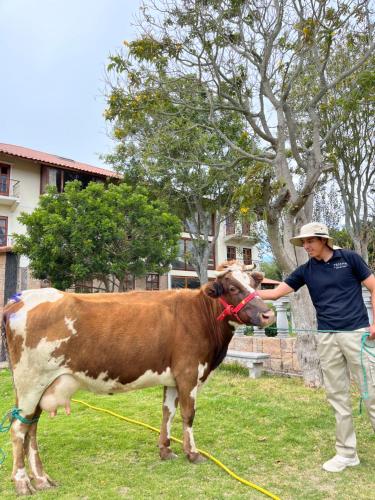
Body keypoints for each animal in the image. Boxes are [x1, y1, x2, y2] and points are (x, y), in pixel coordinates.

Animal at [1, 262, 274, 496]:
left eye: (254, 283)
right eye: (233, 288)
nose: (268, 315)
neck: (200, 316)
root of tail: (19, 300)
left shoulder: (172, 377)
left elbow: (167, 412)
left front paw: (165, 450)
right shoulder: (188, 372)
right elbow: (188, 414)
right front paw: (193, 453)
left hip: (38, 386)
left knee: (31, 427)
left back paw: (42, 479)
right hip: (30, 382)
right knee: (18, 428)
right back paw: (23, 482)